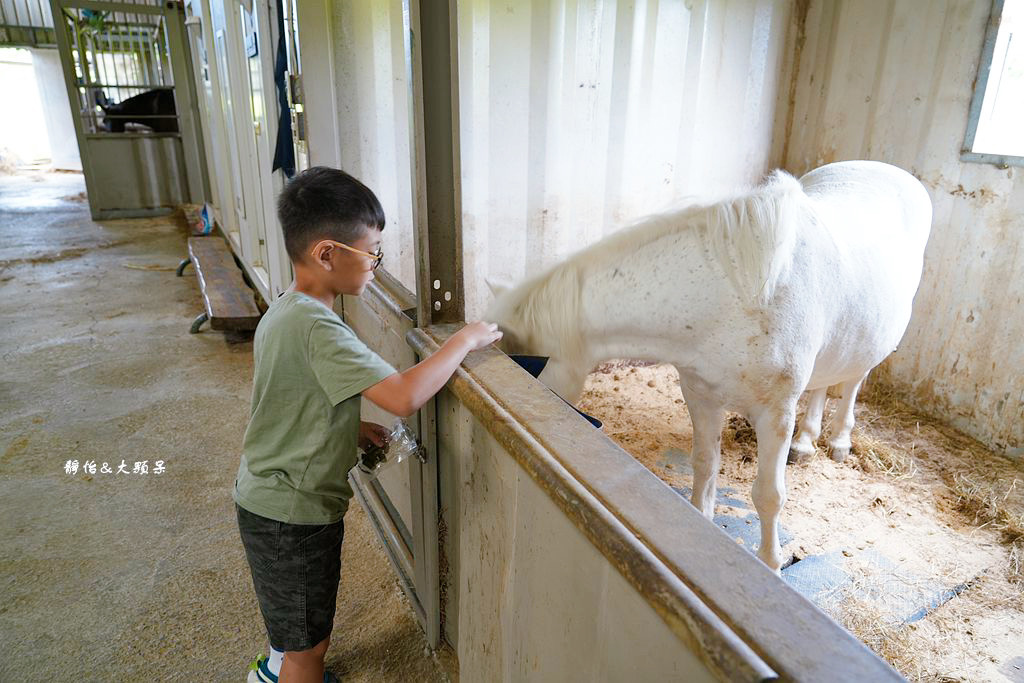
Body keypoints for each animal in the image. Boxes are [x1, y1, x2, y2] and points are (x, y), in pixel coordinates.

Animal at [483, 160, 933, 573]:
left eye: (528, 368)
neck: (734, 300)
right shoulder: (701, 395)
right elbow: (704, 464)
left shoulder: (775, 414)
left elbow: (768, 495)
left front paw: (771, 565)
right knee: (824, 383)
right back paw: (806, 443)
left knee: (853, 381)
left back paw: (838, 441)